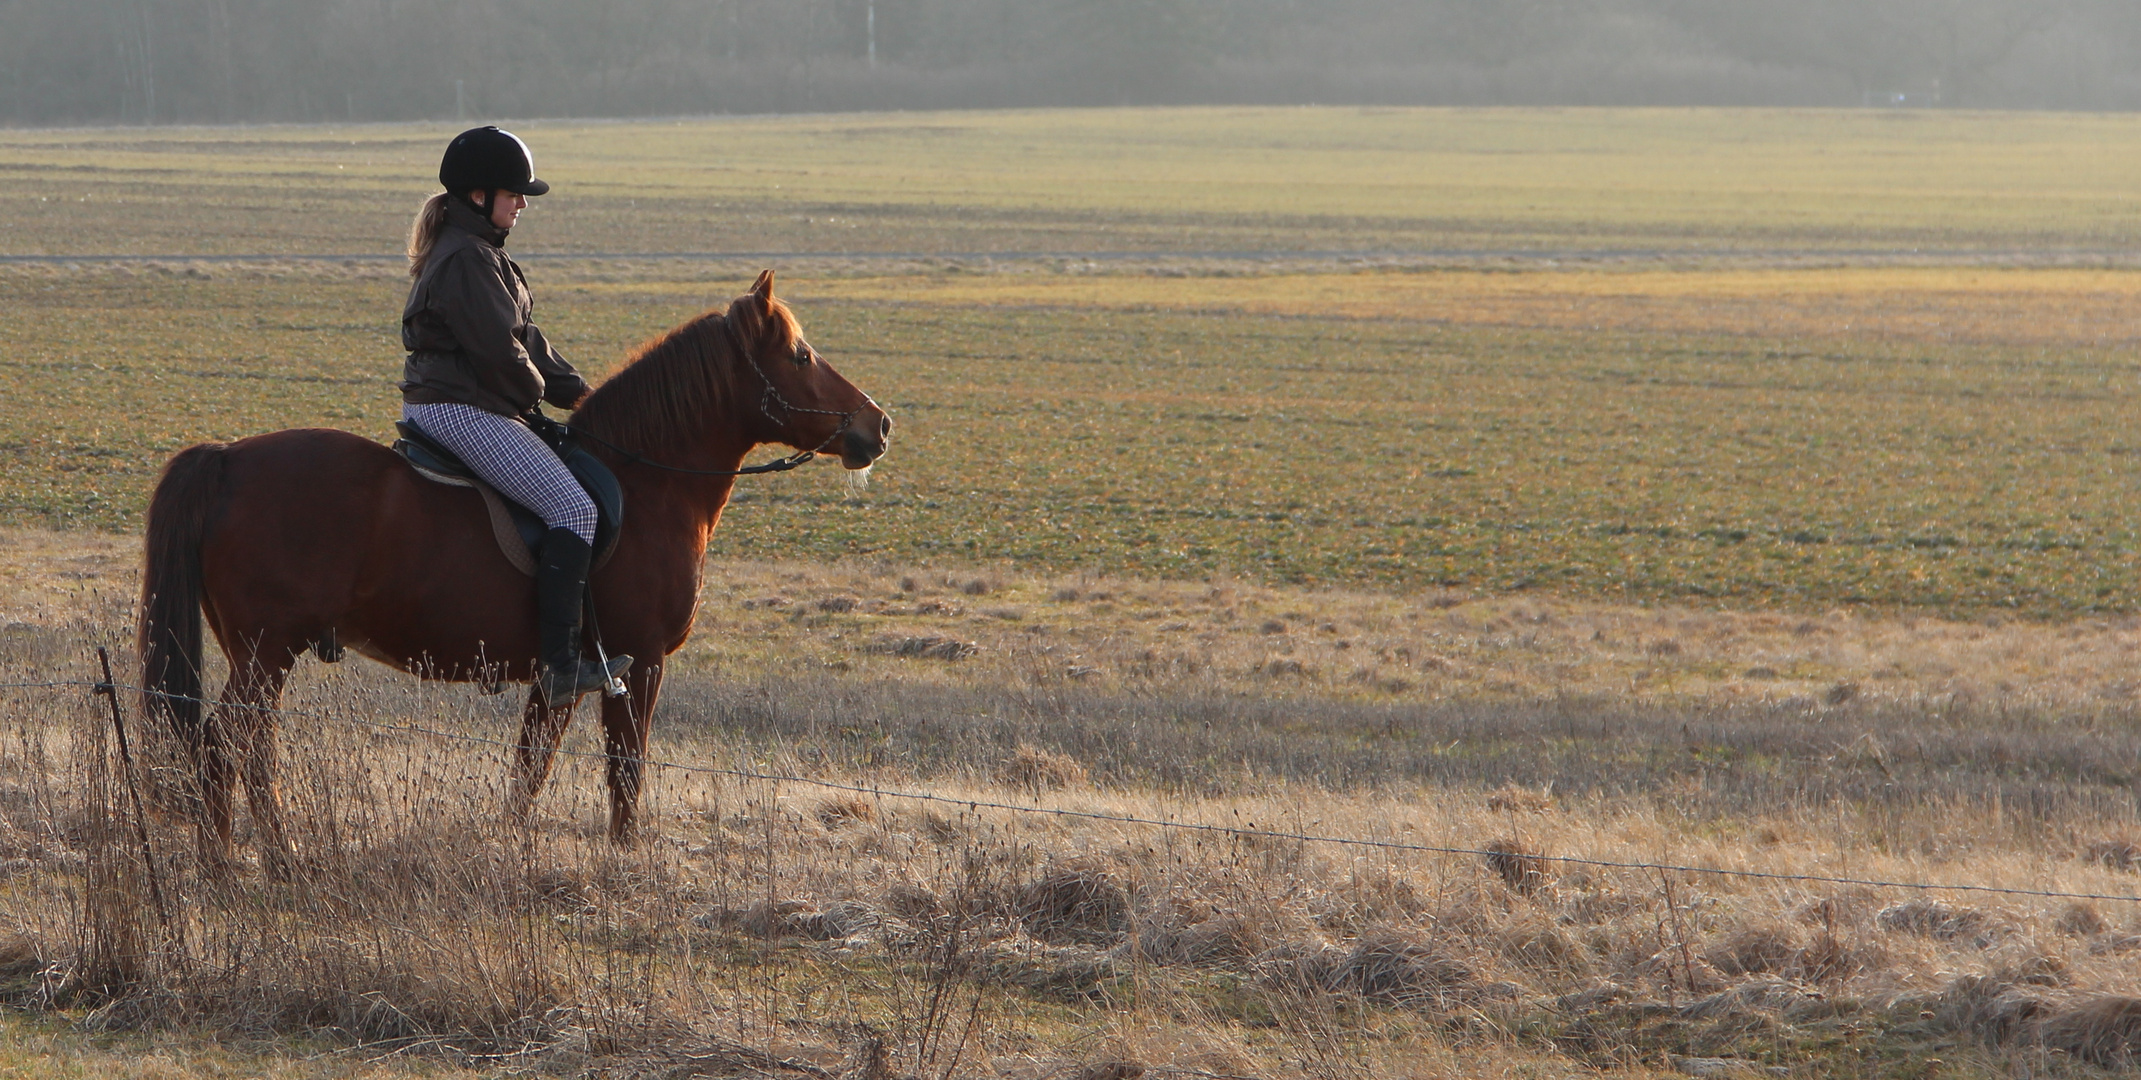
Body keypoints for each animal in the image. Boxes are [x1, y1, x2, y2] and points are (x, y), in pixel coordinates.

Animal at [138, 272, 886, 870]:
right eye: (800, 355)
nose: (877, 426)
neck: (646, 481)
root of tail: (227, 456)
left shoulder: (566, 675)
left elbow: (531, 768)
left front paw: (505, 846)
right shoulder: (639, 662)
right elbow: (626, 771)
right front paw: (623, 863)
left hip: (261, 655)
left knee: (240, 749)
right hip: (266, 652)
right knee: (226, 748)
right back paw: (253, 858)